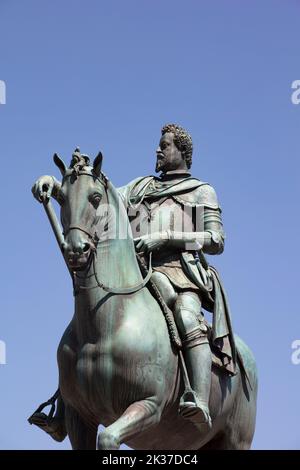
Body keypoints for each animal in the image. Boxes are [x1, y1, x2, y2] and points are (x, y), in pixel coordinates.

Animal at [52, 152, 258, 450]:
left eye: (95, 197)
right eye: (60, 197)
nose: (75, 250)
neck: (104, 326)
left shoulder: (148, 406)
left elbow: (108, 438)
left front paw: (154, 240)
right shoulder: (78, 417)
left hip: (234, 441)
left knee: (189, 321)